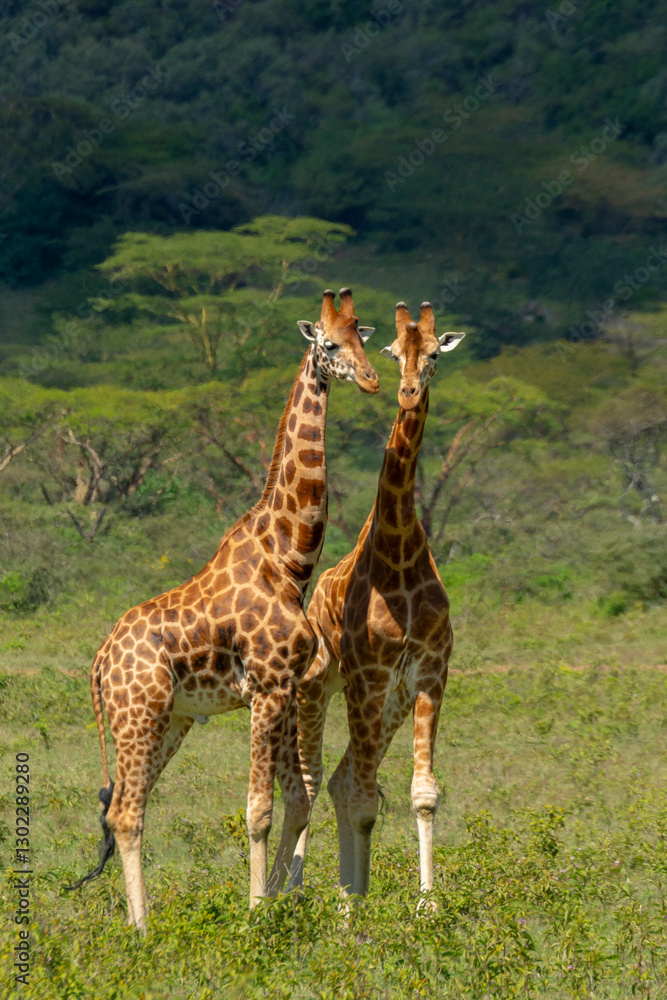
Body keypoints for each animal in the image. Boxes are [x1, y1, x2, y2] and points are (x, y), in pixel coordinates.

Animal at [68, 288, 379, 931]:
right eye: (329, 344)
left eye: (363, 338)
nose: (370, 379)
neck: (288, 558)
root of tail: (100, 663)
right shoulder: (267, 686)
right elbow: (258, 808)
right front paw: (256, 915)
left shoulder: (285, 687)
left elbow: (297, 798)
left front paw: (284, 905)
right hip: (137, 716)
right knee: (127, 813)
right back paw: (141, 930)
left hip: (172, 720)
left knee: (126, 810)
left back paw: (140, 923)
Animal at [284, 300, 465, 901]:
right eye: (391, 350)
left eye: (433, 354)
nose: (406, 392)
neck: (400, 551)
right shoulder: (366, 674)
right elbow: (362, 800)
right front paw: (351, 912)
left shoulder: (429, 672)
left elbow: (423, 793)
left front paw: (428, 907)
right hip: (320, 685)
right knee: (316, 779)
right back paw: (296, 893)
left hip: (389, 699)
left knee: (343, 780)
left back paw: (348, 893)